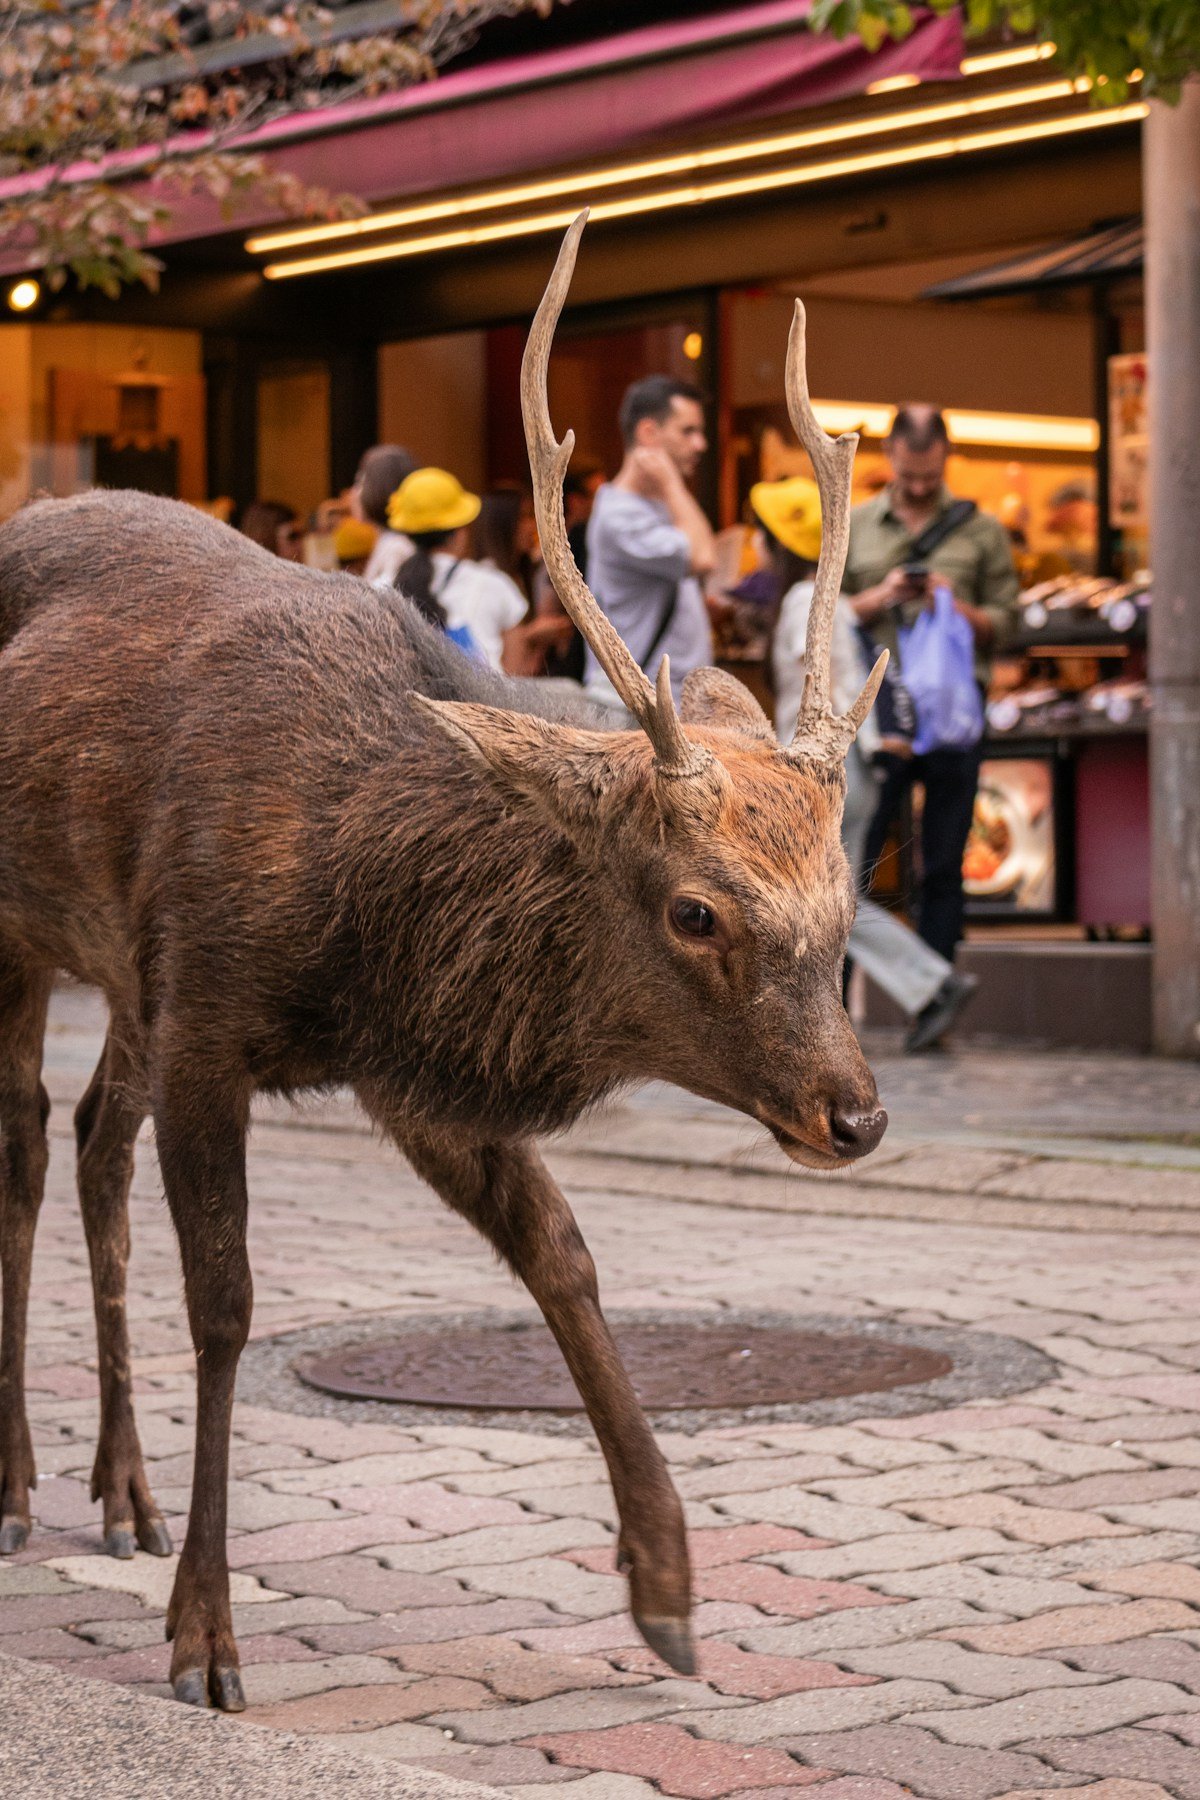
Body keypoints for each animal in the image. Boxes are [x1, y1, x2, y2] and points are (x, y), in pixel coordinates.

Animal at [0, 214, 886, 1711]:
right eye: (695, 913)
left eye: (847, 892)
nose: (858, 1114)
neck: (362, 899)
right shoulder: (212, 1015)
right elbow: (227, 1303)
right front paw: (205, 1639)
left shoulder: (395, 1068)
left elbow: (563, 1256)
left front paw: (667, 1589)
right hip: (23, 936)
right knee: (19, 1144)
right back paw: (18, 1486)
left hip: (123, 964)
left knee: (92, 1140)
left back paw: (121, 1491)